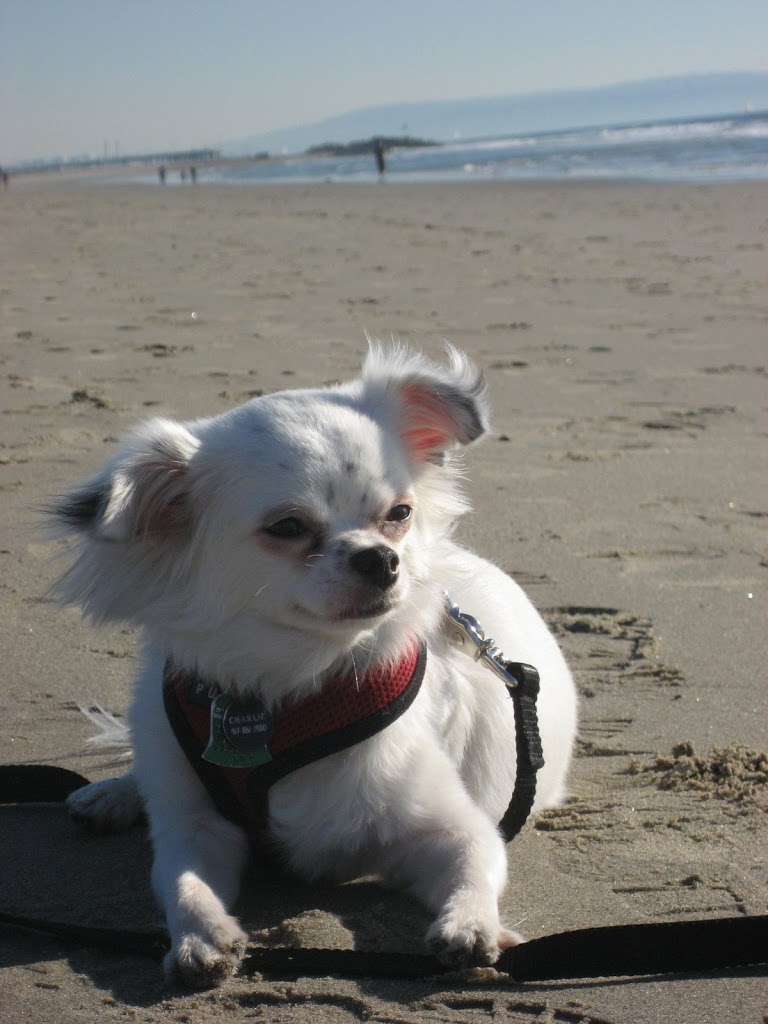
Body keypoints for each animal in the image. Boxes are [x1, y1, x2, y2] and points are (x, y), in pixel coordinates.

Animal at [52, 344, 577, 987]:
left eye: (400, 513)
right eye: (287, 527)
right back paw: (113, 795)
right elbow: (182, 880)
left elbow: (476, 861)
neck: (295, 686)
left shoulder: (449, 827)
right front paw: (202, 937)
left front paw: (472, 927)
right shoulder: (196, 827)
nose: (380, 558)